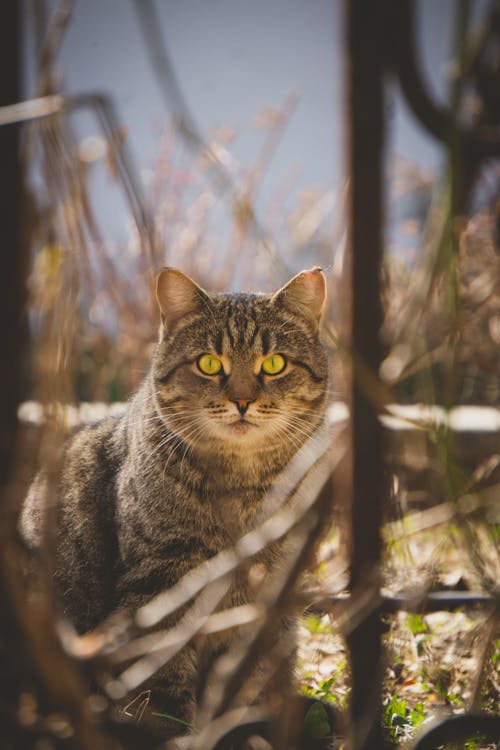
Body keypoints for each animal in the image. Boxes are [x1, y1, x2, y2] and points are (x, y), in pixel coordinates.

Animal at [21, 266, 330, 740]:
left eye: (274, 364)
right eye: (209, 363)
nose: (243, 400)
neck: (241, 487)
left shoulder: (273, 586)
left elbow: (250, 672)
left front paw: (244, 725)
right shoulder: (160, 579)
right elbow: (162, 676)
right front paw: (174, 732)